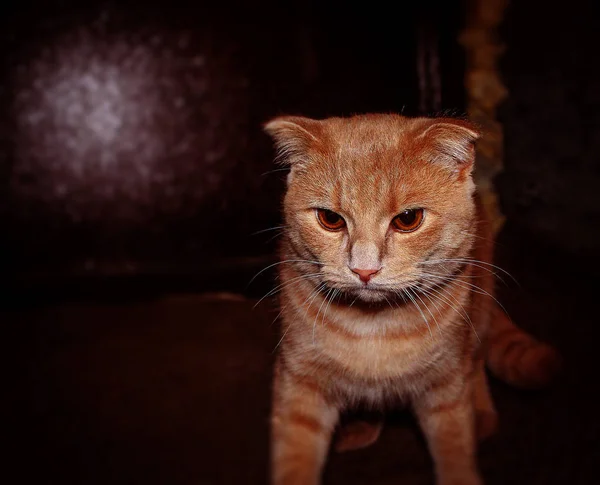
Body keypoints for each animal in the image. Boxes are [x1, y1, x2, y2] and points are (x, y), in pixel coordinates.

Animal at [264, 114, 560, 484]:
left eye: (408, 219)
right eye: (330, 219)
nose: (364, 270)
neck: (373, 327)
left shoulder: (447, 386)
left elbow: (455, 447)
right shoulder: (299, 384)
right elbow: (295, 457)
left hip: (478, 317)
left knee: (477, 364)